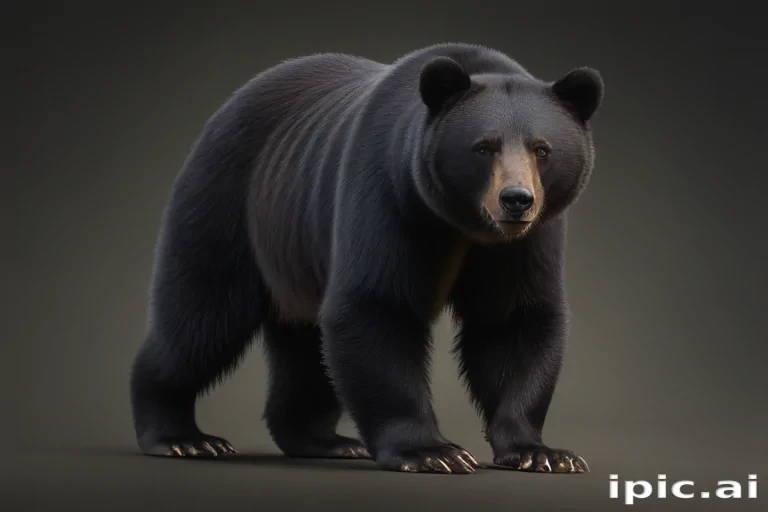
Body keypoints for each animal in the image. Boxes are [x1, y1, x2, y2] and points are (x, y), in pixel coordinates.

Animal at [129, 42, 603, 474]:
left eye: (542, 149)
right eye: (484, 147)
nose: (516, 200)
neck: (460, 227)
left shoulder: (524, 244)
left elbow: (514, 321)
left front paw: (541, 452)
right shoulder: (387, 195)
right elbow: (375, 307)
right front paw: (433, 452)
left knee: (306, 351)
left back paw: (326, 441)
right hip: (229, 202)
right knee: (201, 316)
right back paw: (182, 437)